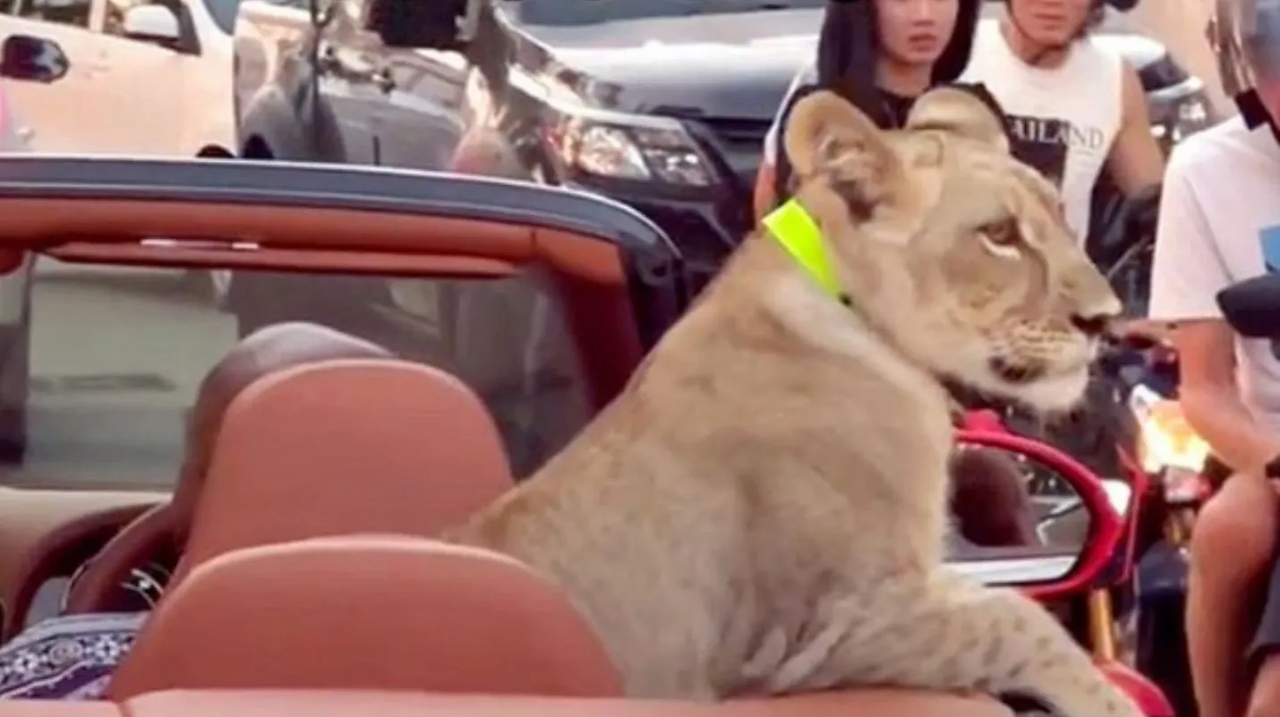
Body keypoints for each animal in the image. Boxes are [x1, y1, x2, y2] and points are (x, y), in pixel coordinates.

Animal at [444, 87, 1135, 716]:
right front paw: (1112, 702)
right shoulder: (817, 629)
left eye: (1060, 215)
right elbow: (1014, 618)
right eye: (998, 234)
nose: (1107, 319)